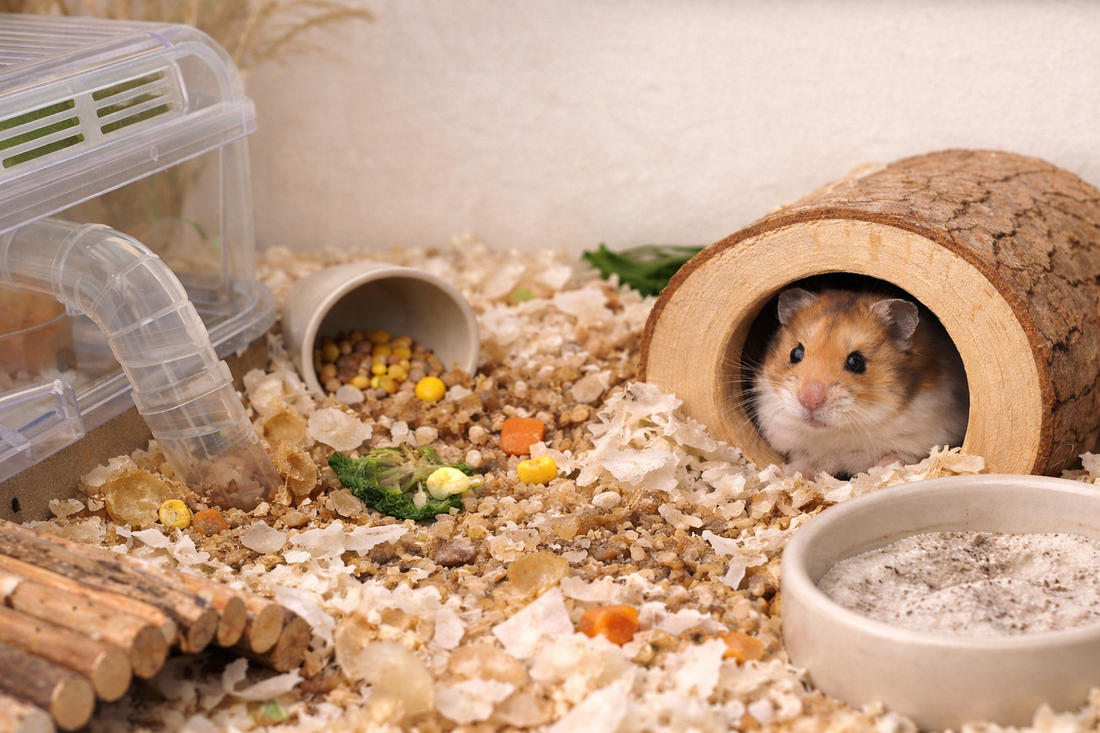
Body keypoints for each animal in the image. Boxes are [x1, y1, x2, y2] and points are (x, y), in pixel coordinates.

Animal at [751, 287, 969, 478]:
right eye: (795, 354)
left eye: (856, 362)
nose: (809, 401)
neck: (843, 430)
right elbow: (809, 462)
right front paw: (792, 474)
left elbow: (895, 458)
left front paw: (880, 474)